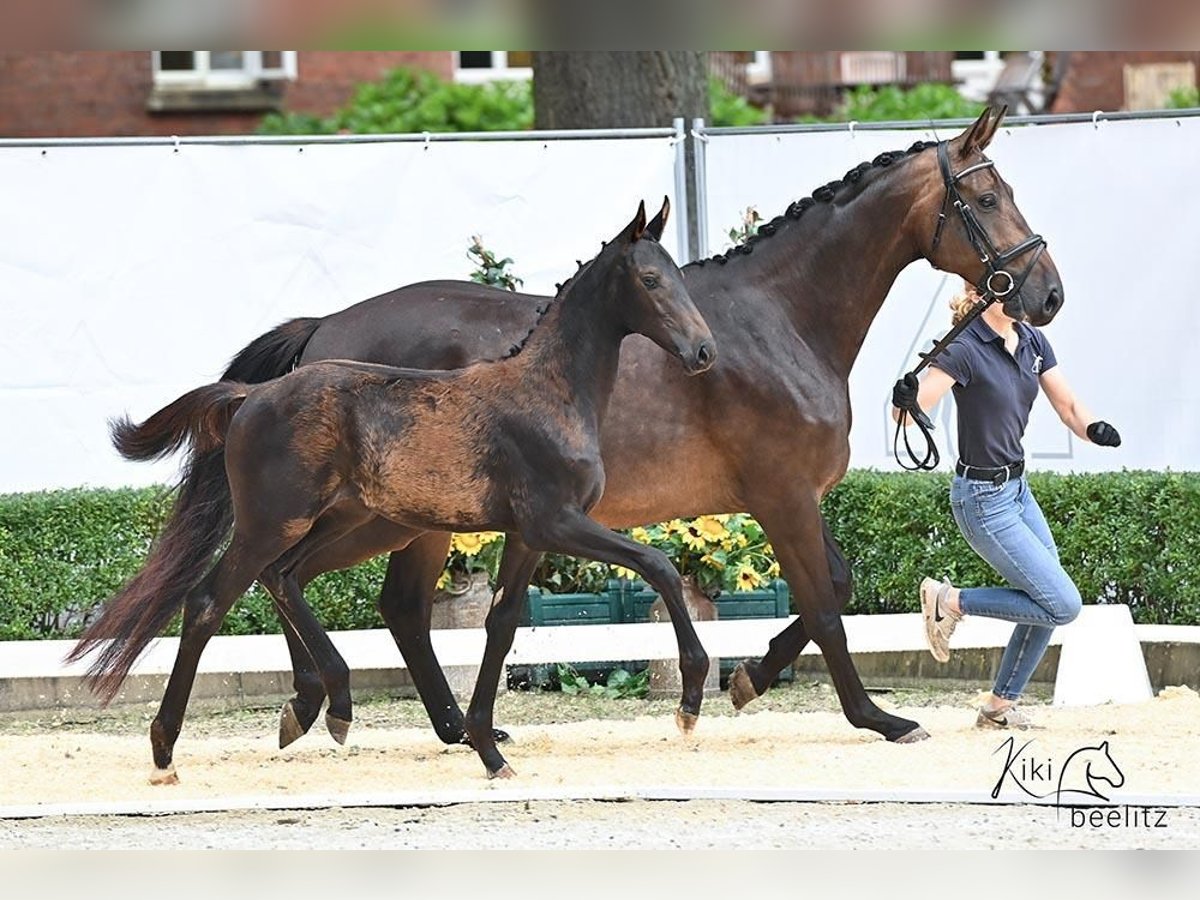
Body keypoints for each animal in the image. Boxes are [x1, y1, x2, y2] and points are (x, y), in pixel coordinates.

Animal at [75, 199, 710, 782]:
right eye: (650, 280)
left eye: (681, 277)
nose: (703, 352)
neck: (547, 392)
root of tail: (249, 396)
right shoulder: (557, 522)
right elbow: (658, 564)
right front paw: (689, 702)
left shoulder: (529, 536)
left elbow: (502, 626)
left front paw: (487, 747)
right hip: (274, 523)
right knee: (210, 602)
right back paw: (167, 750)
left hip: (340, 520)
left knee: (284, 576)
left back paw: (328, 705)